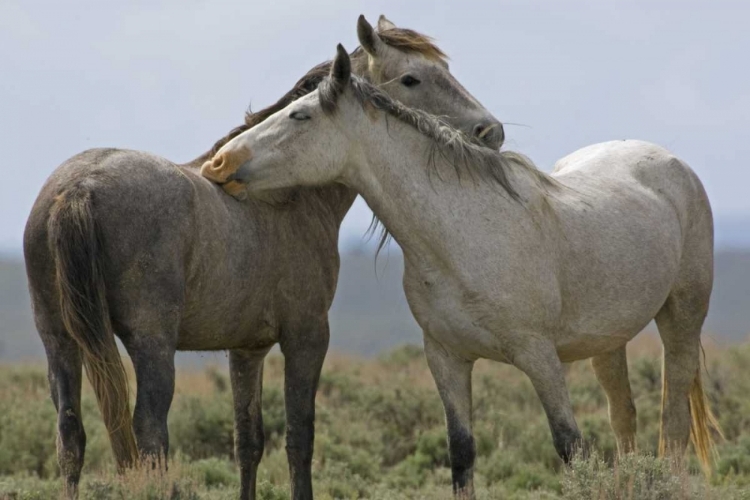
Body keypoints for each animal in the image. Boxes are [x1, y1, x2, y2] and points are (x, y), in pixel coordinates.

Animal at [23, 14, 506, 500]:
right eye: (411, 78)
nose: (492, 132)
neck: (285, 194)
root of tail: (80, 186)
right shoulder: (307, 336)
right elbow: (299, 437)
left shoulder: (246, 349)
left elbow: (248, 441)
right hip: (151, 344)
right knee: (149, 432)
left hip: (59, 341)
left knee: (71, 434)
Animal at [204, 46, 724, 496]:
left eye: (300, 116)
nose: (219, 163)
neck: (463, 235)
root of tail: (672, 164)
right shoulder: (447, 358)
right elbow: (461, 453)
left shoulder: (539, 357)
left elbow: (570, 448)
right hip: (607, 342)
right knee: (625, 416)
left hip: (681, 318)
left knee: (673, 423)